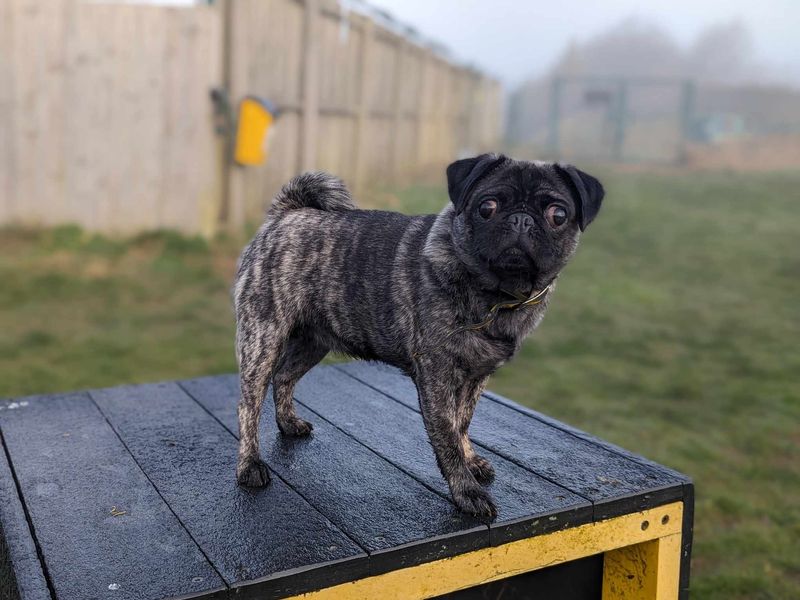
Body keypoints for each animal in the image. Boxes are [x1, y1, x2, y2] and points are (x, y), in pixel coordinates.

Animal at [234, 155, 604, 520]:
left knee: (284, 377)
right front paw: (466, 490)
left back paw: (288, 423)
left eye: (558, 215)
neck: (497, 297)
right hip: (263, 339)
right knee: (248, 404)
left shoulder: (475, 377)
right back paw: (249, 465)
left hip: (314, 342)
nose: (521, 220)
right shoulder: (437, 377)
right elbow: (447, 435)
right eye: (487, 207)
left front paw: (470, 460)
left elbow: (462, 422)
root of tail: (286, 216)